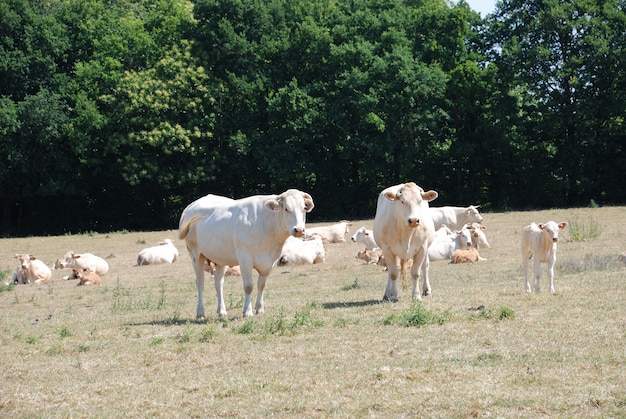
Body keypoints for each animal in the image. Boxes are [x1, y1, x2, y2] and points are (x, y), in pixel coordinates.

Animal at [177, 190, 312, 318]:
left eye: (303, 208)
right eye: (286, 209)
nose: (299, 230)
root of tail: (192, 206)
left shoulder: (269, 261)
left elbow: (261, 285)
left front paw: (259, 308)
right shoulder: (245, 258)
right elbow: (249, 286)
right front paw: (247, 311)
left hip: (221, 258)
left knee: (218, 282)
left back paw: (222, 311)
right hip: (195, 254)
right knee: (200, 282)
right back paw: (200, 311)